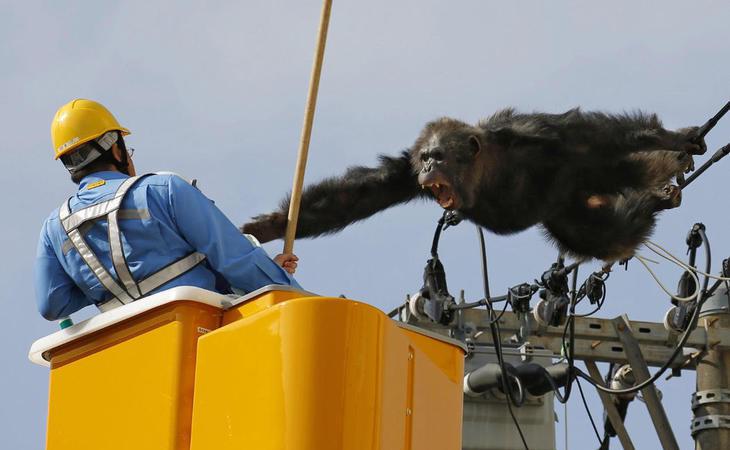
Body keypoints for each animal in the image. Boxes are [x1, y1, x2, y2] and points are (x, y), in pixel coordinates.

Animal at [242, 108, 704, 262]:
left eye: (438, 155)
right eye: (424, 157)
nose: (429, 167)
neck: (486, 170)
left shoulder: (541, 136)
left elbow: (592, 134)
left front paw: (672, 138)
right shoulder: (404, 174)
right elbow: (354, 197)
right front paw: (270, 226)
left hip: (591, 176)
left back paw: (660, 186)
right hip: (567, 212)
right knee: (600, 236)